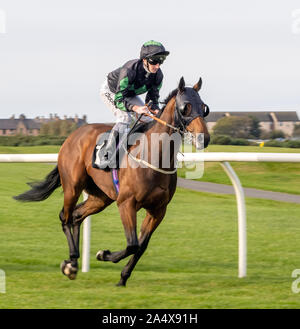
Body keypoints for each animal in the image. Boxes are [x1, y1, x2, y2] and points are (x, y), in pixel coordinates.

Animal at [14, 76, 210, 284]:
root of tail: (73, 135)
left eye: (204, 107)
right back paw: (70, 264)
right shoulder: (126, 203)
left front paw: (123, 277)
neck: (154, 157)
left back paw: (73, 261)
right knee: (65, 217)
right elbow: (132, 244)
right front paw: (103, 254)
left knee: (76, 216)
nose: (203, 138)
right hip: (73, 186)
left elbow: (141, 246)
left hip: (101, 197)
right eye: (185, 107)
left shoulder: (158, 210)